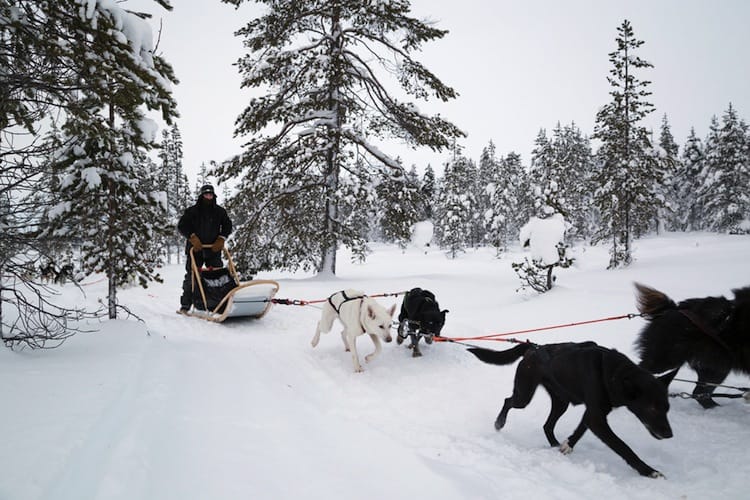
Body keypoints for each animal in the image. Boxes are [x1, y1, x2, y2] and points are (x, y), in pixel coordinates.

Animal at [470, 342, 676, 478]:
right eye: (652, 408)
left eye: (667, 408)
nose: (669, 434)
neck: (611, 373)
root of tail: (533, 349)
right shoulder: (597, 418)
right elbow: (623, 447)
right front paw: (648, 471)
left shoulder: (594, 412)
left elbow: (581, 429)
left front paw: (567, 445)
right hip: (524, 395)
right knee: (508, 401)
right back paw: (499, 422)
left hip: (561, 401)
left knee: (547, 425)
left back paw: (554, 444)